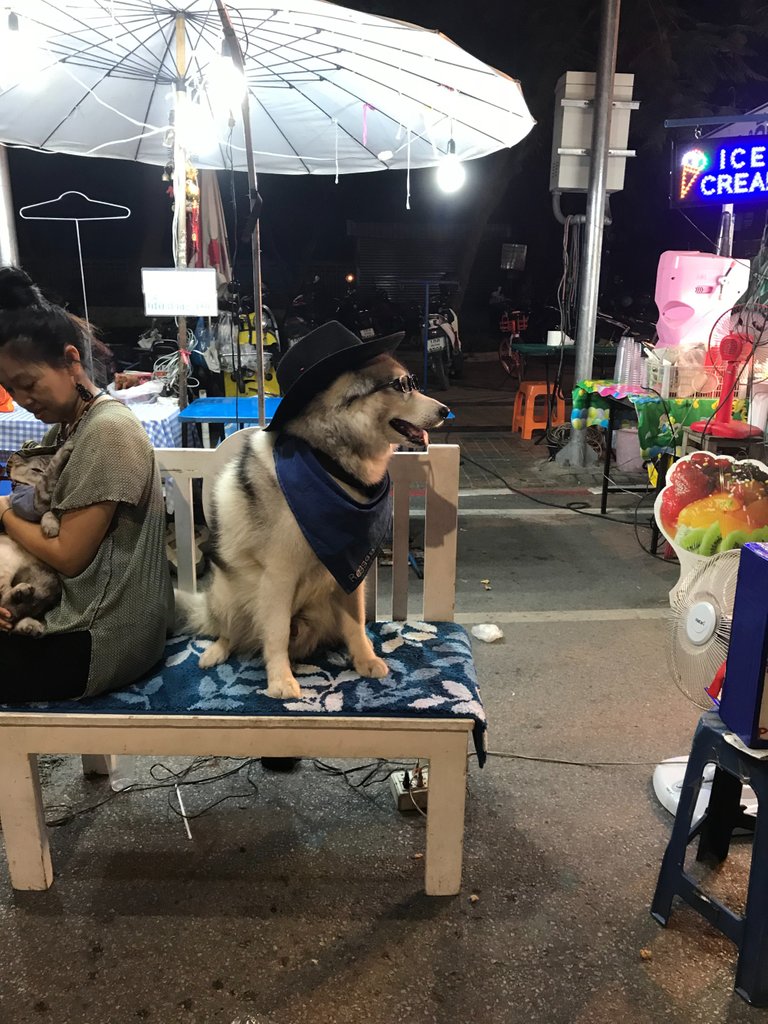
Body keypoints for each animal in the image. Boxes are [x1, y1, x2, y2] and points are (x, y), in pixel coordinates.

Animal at [182, 331, 450, 700]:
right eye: (402, 386)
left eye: (411, 382)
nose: (445, 410)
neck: (330, 464)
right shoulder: (279, 574)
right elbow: (276, 633)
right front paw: (281, 681)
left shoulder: (351, 571)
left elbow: (356, 624)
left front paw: (365, 660)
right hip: (227, 594)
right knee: (231, 631)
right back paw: (216, 651)